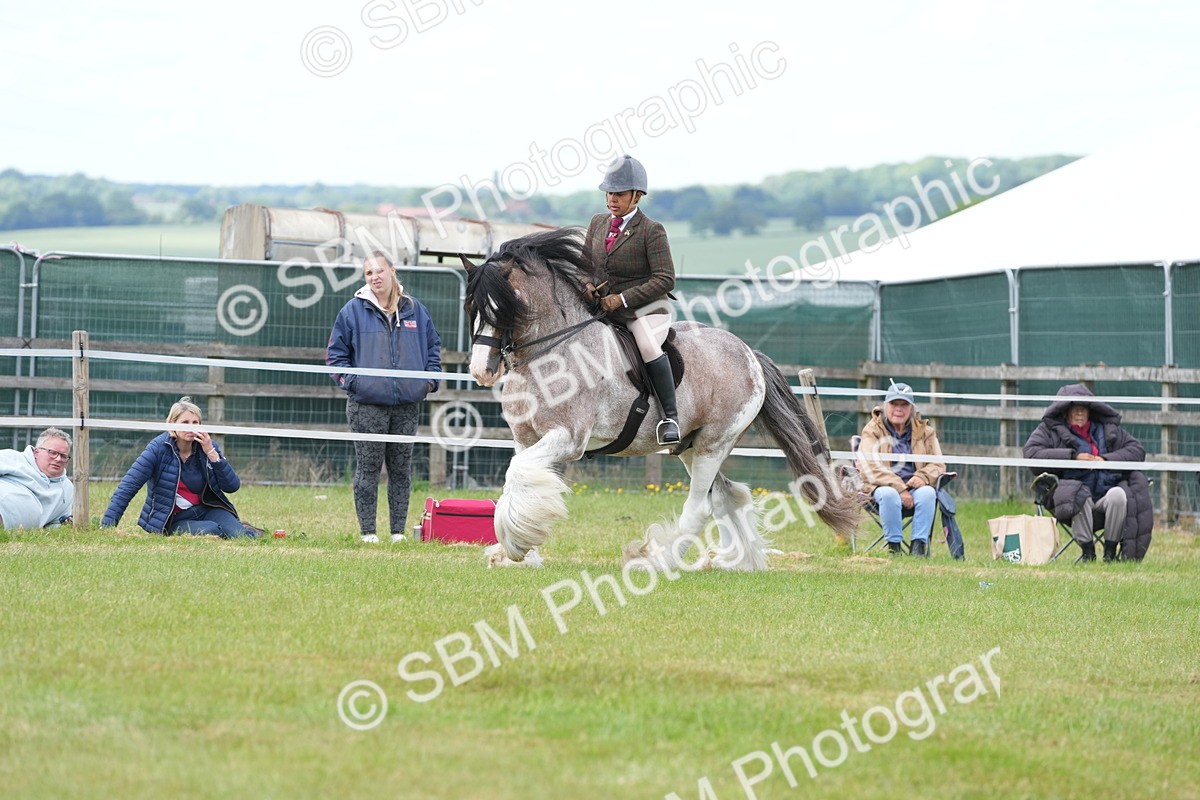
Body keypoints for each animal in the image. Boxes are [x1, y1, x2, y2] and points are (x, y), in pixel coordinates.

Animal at [461, 228, 860, 571]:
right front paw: (518, 553)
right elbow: (520, 481)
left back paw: (658, 561)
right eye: (472, 310)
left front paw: (515, 544)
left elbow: (519, 474)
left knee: (700, 508)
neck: (551, 354)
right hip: (691, 447)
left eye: (503, 307)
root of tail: (749, 354)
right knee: (728, 496)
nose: (482, 370)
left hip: (714, 443)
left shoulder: (568, 438)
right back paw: (740, 562)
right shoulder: (525, 439)